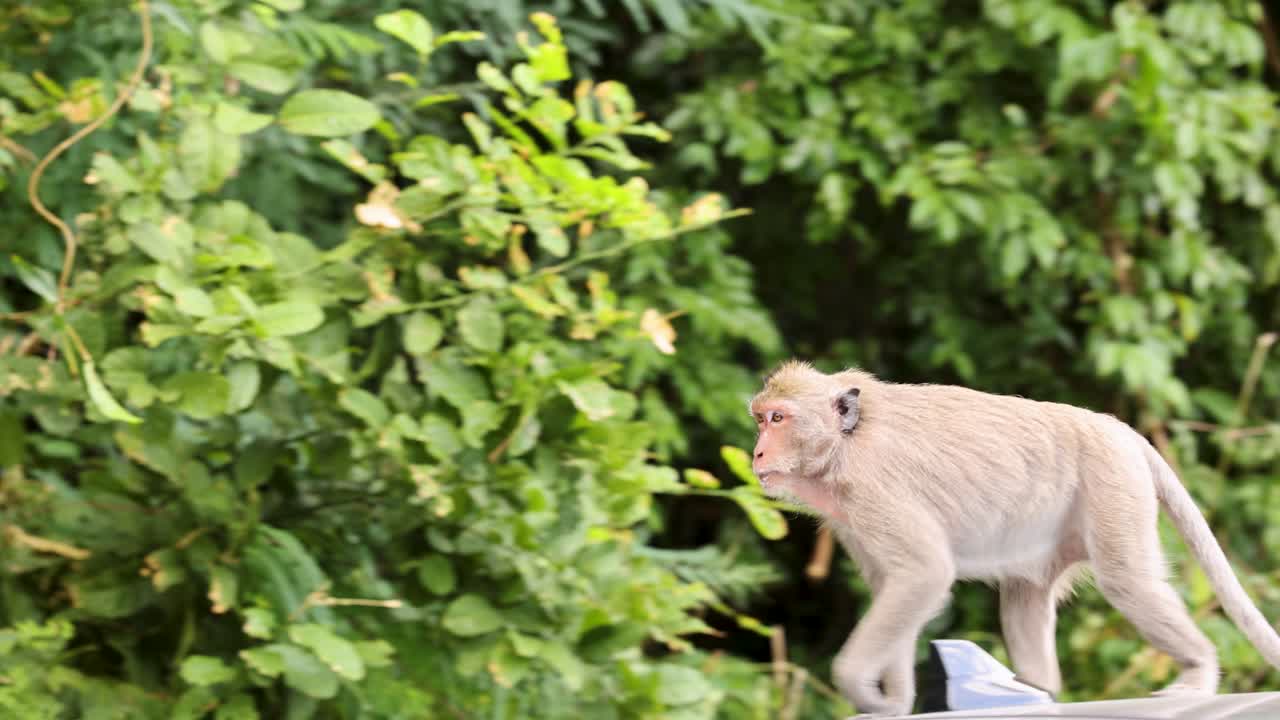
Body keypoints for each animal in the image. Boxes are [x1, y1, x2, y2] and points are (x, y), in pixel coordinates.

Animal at [748, 360, 1280, 716]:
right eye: (760, 418)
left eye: (777, 419)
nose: (755, 453)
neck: (846, 443)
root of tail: (1120, 430)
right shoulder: (852, 515)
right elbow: (894, 586)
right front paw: (894, 702)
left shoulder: (874, 491)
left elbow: (923, 574)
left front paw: (857, 685)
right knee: (1025, 598)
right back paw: (1037, 689)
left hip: (1113, 484)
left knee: (1128, 581)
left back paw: (1199, 669)